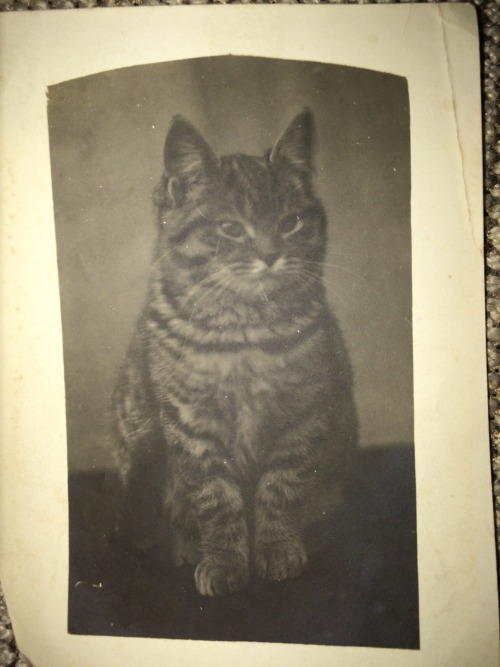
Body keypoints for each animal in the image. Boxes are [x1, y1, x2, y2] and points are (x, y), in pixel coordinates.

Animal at [112, 109, 358, 596]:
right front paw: (224, 561)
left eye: (290, 222)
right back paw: (187, 547)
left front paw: (278, 550)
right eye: (230, 228)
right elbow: (215, 498)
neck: (243, 331)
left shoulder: (303, 415)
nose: (271, 255)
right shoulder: (191, 425)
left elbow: (282, 487)